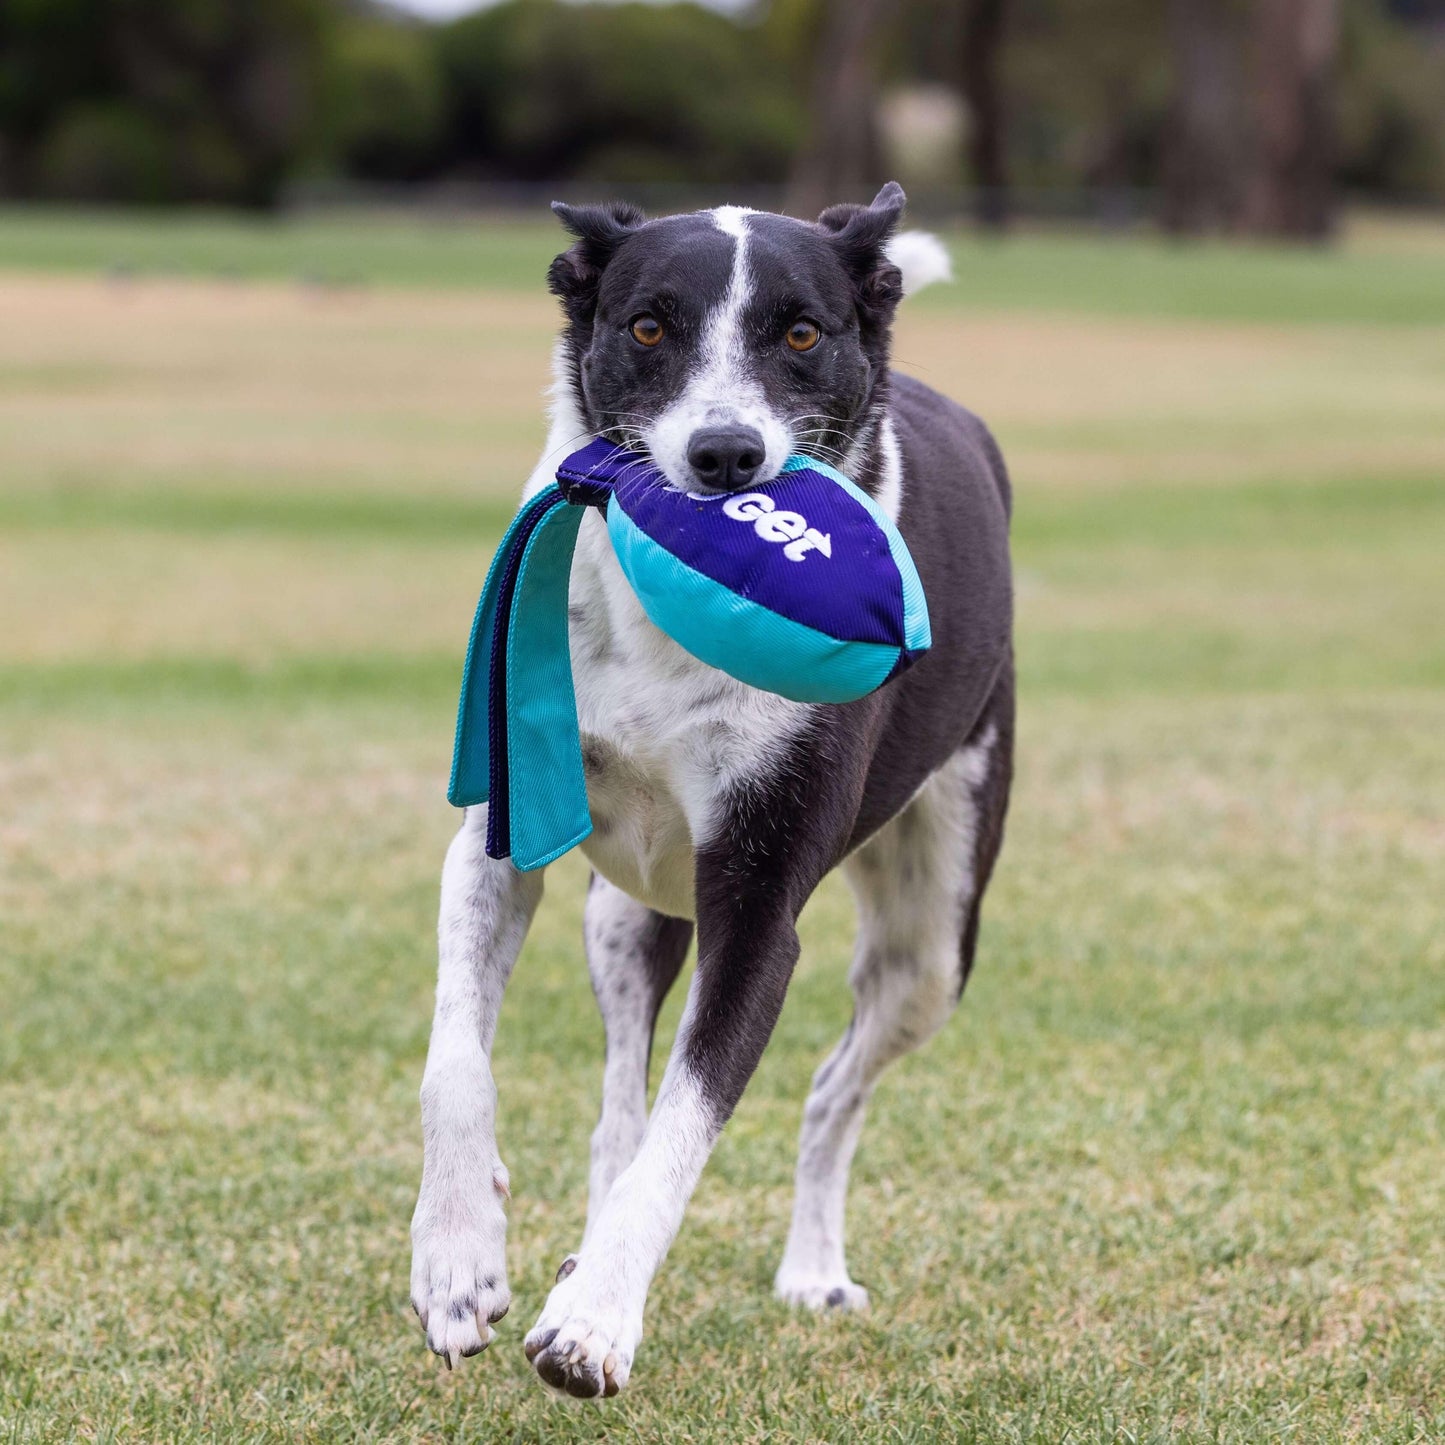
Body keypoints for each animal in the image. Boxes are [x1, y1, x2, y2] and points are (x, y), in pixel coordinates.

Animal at [410, 183, 1017, 1398]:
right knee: (617, 1103)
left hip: (932, 934)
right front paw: (457, 1263)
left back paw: (810, 1268)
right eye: (648, 326)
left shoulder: (757, 906)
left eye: (801, 334)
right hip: (624, 913)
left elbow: (686, 1124)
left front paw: (592, 1322)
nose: (725, 453)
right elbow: (457, 1058)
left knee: (831, 1087)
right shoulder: (501, 827)